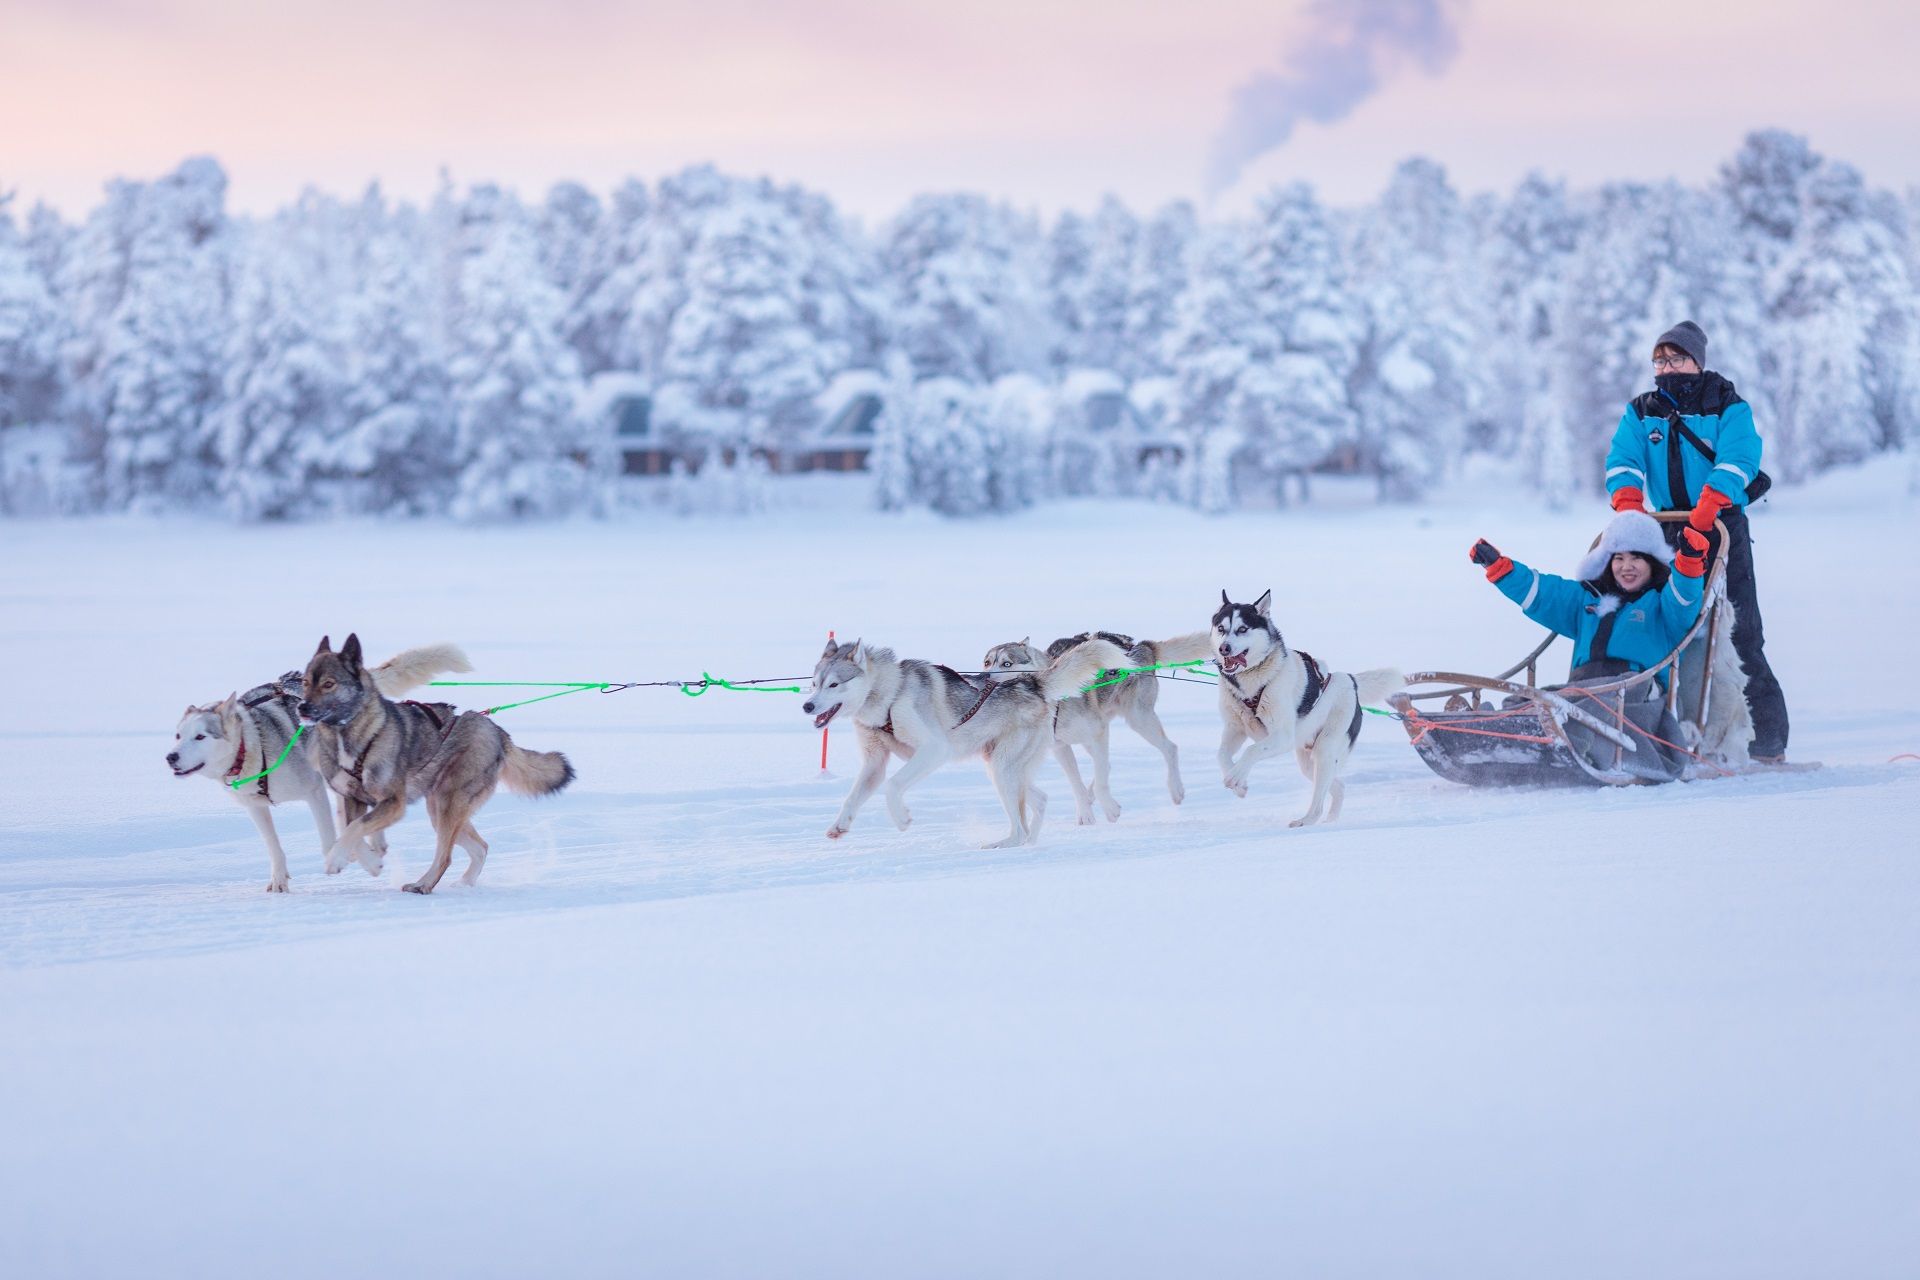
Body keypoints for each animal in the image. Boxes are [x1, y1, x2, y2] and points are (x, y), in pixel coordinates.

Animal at [169, 640, 476, 890]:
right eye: (178, 735)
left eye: (200, 736)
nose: (170, 757)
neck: (252, 748)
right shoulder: (255, 807)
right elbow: (273, 846)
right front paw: (279, 879)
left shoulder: (314, 792)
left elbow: (332, 839)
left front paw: (361, 861)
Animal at [295, 629, 572, 890]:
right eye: (305, 682)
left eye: (328, 684)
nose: (302, 707)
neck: (353, 736)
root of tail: (493, 728)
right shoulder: (353, 799)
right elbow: (352, 830)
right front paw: (369, 862)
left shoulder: (394, 803)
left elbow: (354, 829)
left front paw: (336, 859)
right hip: (440, 810)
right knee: (481, 847)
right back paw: (464, 883)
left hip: (447, 805)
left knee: (446, 856)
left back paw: (423, 885)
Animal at [802, 633, 1128, 852]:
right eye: (815, 684)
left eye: (834, 684)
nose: (807, 705)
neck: (890, 695)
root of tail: (1031, 683)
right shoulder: (875, 763)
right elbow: (853, 797)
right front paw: (839, 826)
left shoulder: (934, 750)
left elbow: (893, 785)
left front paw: (902, 818)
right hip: (1000, 768)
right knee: (1039, 801)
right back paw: (1028, 842)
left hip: (1002, 769)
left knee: (1019, 826)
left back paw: (1004, 844)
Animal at [983, 629, 1205, 821]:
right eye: (987, 663)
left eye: (1007, 663)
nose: (984, 676)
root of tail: (1142, 646)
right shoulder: (1060, 747)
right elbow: (1076, 783)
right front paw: (1085, 813)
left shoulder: (1099, 732)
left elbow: (1100, 779)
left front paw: (1109, 808)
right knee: (1106, 764)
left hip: (1138, 719)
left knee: (1169, 748)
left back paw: (1176, 789)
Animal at [1205, 594, 1405, 832]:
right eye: (1221, 628)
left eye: (1242, 629)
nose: (1224, 648)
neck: (1251, 685)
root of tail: (1351, 681)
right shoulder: (1235, 729)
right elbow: (1221, 754)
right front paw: (1239, 783)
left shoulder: (1282, 737)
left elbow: (1252, 750)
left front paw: (1236, 776)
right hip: (1309, 763)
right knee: (1338, 786)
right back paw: (1331, 819)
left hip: (1324, 751)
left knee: (1319, 800)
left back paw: (1306, 820)